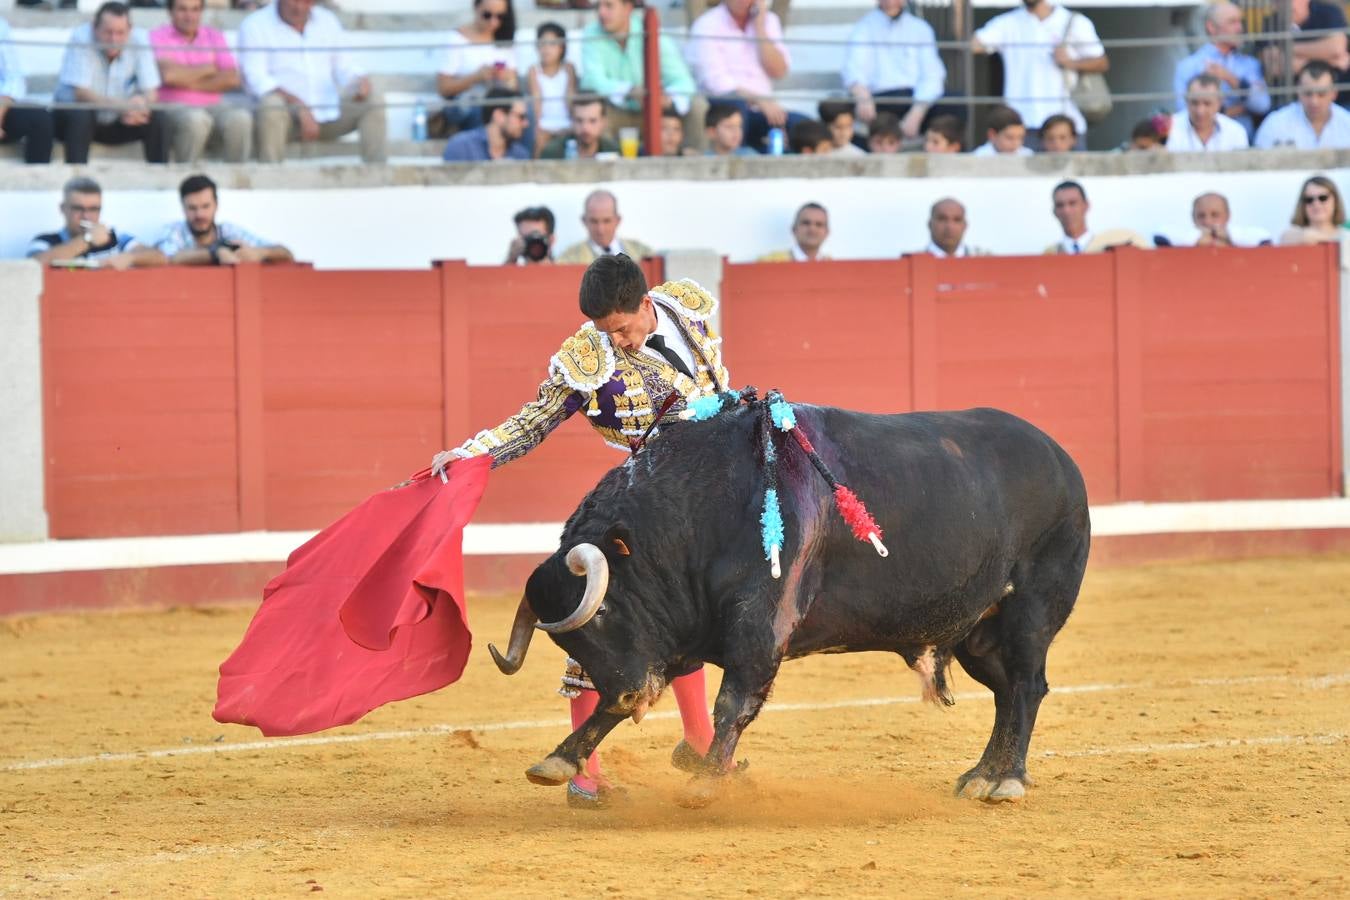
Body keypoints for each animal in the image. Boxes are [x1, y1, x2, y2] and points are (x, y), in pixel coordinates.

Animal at [491, 404, 1090, 804]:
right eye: (568, 639)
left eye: (607, 610)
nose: (634, 693)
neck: (700, 506)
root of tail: (1063, 461)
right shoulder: (678, 640)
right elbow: (609, 707)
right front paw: (558, 759)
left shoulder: (760, 625)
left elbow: (733, 702)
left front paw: (707, 783)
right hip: (977, 632)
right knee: (1007, 692)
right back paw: (980, 776)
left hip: (1030, 611)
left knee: (1027, 685)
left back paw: (1005, 780)